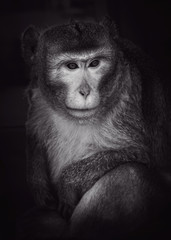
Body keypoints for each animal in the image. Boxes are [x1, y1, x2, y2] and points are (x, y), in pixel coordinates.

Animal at [19, 17, 171, 239]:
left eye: (94, 63)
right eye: (71, 66)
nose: (85, 91)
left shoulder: (126, 95)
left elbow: (139, 154)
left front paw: (68, 182)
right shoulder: (37, 93)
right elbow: (34, 136)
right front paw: (38, 186)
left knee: (129, 174)